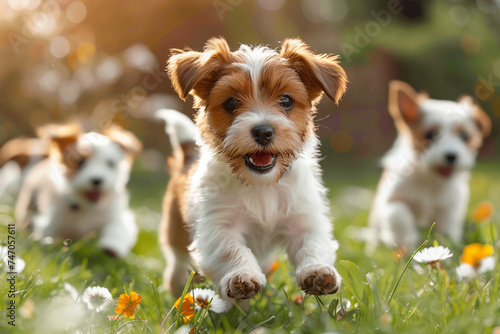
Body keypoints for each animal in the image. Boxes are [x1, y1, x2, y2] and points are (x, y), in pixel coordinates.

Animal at [15, 123, 142, 258]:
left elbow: (117, 228)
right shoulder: (51, 221)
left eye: (110, 164)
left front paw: (112, 247)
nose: (97, 180)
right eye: (80, 162)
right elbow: (47, 237)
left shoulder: (117, 215)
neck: (86, 207)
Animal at [158, 37, 350, 302]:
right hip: (175, 236)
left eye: (286, 100)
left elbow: (312, 244)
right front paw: (242, 275)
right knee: (177, 269)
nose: (263, 131)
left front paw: (317, 271)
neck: (262, 184)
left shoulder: (303, 219)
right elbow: (231, 249)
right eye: (230, 103)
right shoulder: (216, 225)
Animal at [368, 80, 492, 248]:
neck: (430, 178)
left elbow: (447, 228)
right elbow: (399, 214)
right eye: (432, 135)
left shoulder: (450, 206)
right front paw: (406, 242)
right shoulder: (390, 200)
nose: (451, 156)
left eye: (464, 136)